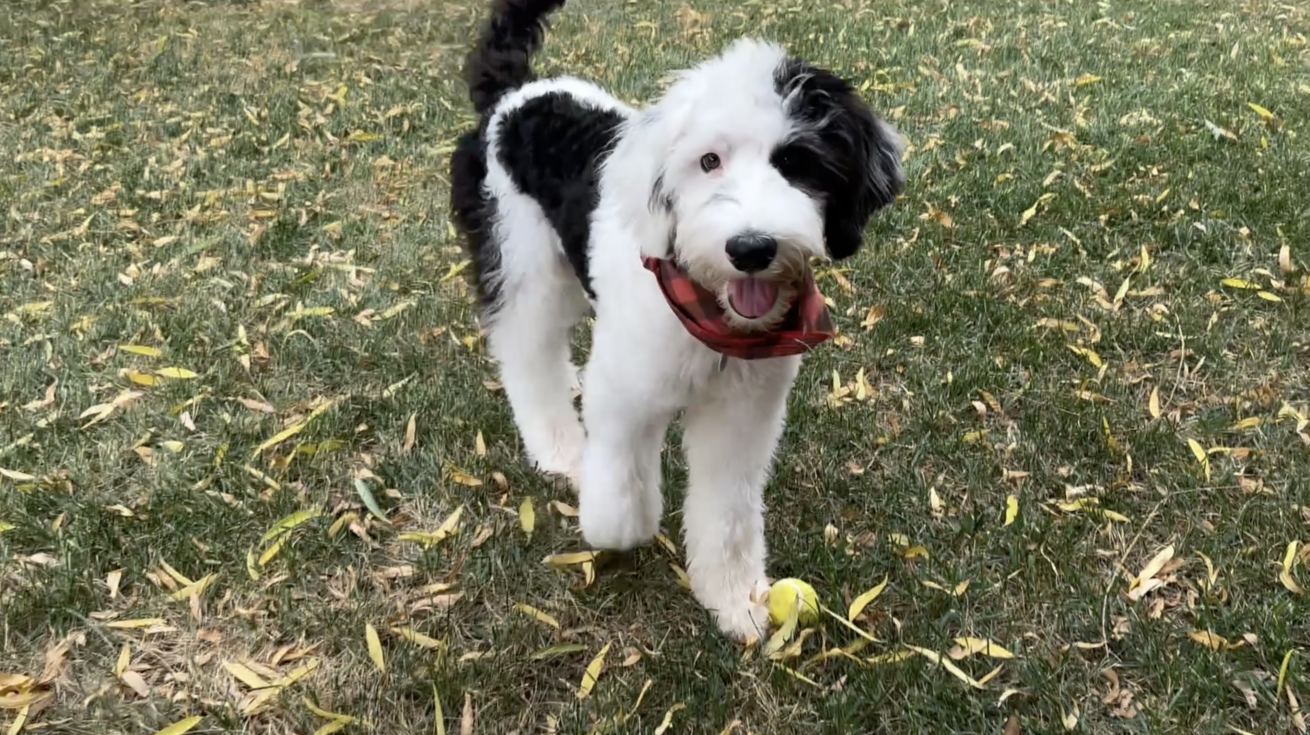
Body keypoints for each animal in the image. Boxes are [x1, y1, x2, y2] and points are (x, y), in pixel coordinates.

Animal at [450, 0, 901, 639]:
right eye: (708, 161)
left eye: (797, 162)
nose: (751, 247)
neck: (713, 322)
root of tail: (513, 96)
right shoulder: (625, 395)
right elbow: (622, 498)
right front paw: (612, 519)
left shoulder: (741, 416)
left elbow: (728, 512)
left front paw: (735, 600)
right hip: (521, 263)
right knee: (526, 354)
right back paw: (561, 450)